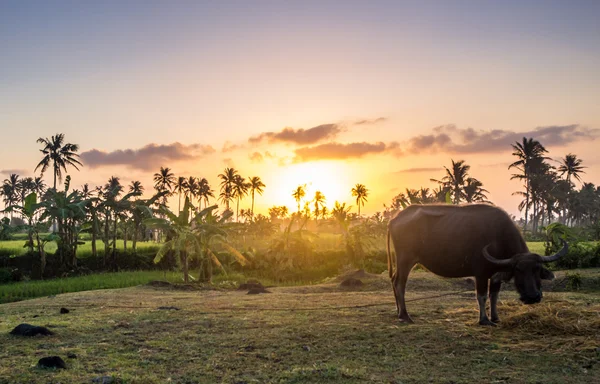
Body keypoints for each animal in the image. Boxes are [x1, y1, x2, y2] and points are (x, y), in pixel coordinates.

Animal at [384, 202, 568, 326]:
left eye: (537, 270)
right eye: (518, 270)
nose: (532, 297)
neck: (498, 237)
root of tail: (394, 219)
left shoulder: (496, 274)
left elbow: (494, 295)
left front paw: (495, 317)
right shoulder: (480, 274)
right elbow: (482, 295)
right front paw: (484, 320)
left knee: (394, 280)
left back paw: (398, 312)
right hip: (405, 259)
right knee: (399, 283)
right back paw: (405, 315)